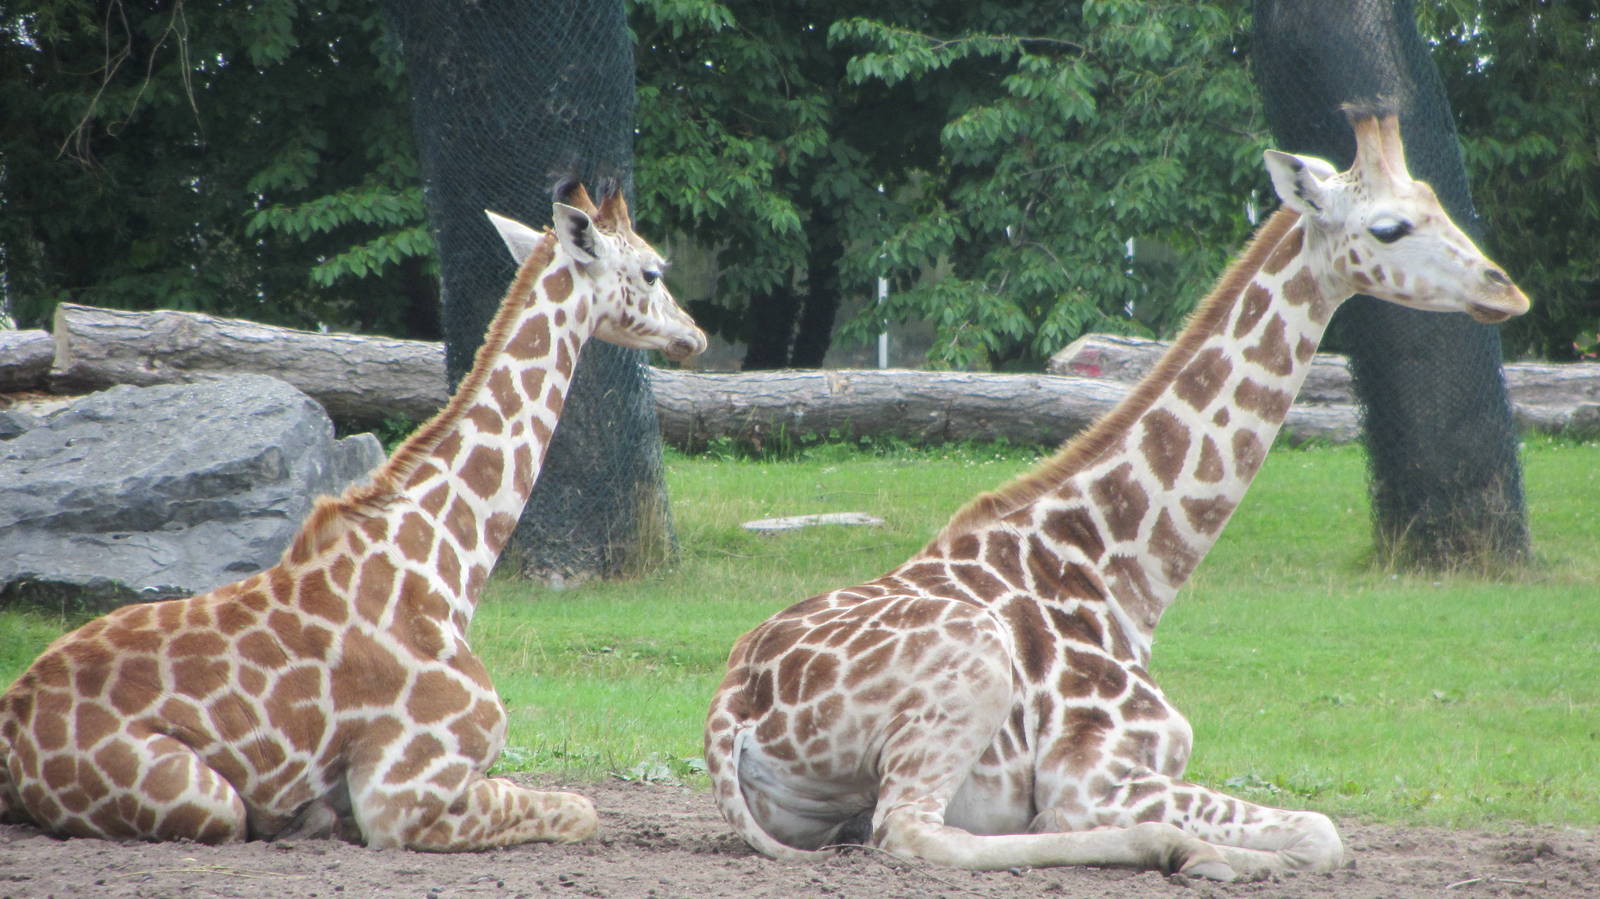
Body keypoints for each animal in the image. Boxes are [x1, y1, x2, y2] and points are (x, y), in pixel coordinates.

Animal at [0, 183, 706, 850]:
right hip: (203, 797)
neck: (447, 563)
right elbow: (582, 809)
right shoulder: (401, 792)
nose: (694, 334)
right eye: (652, 272)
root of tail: (11, 730)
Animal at [704, 104, 1529, 881]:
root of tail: (730, 707)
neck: (1125, 573)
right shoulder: (1091, 774)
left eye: (1437, 201)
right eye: (1389, 227)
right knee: (911, 829)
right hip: (974, 666)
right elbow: (1321, 829)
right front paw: (1228, 849)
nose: (1507, 289)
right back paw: (1194, 850)